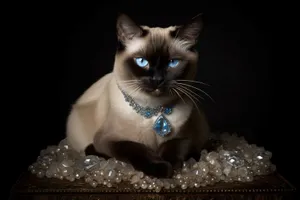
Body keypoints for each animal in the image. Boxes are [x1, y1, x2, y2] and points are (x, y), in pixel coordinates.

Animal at [65, 13, 211, 177]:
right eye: (142, 61)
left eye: (173, 62)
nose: (157, 79)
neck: (153, 111)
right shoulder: (108, 140)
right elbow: (134, 148)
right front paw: (161, 167)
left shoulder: (187, 137)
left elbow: (173, 145)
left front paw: (171, 165)